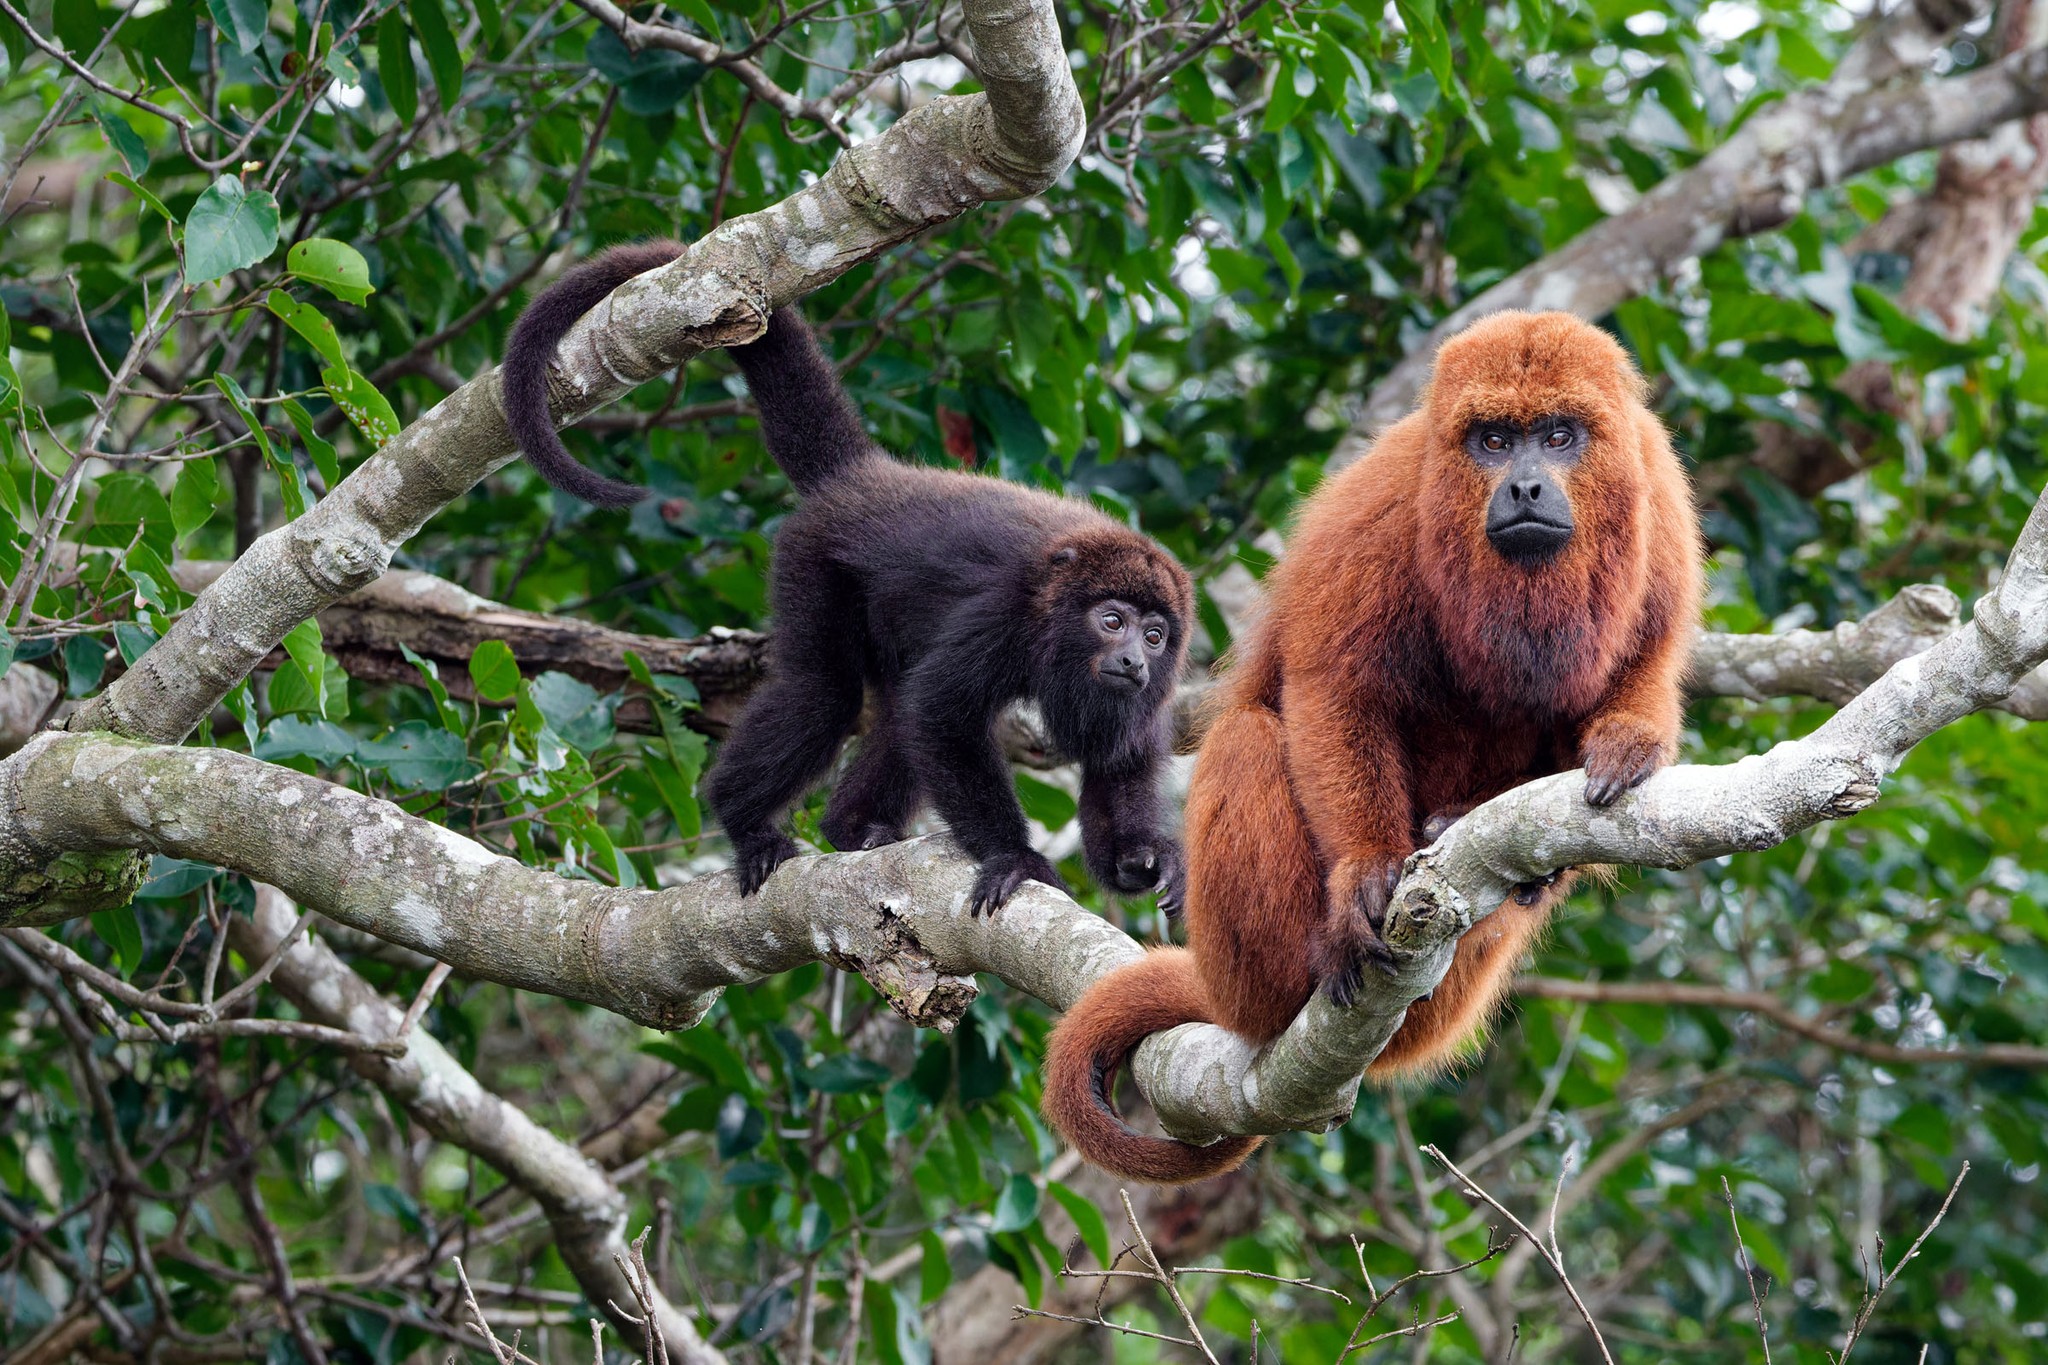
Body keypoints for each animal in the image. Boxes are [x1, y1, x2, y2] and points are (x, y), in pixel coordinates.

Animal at [499, 242, 1195, 914]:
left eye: (1155, 635)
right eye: (1112, 621)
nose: (1133, 661)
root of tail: (863, 474)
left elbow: (1118, 760)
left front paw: (1141, 859)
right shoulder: (1004, 614)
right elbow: (941, 712)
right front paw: (1015, 858)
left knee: (893, 712)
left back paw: (853, 830)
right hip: (813, 562)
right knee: (826, 691)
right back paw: (746, 821)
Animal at [1042, 311, 1703, 1184]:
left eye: (1560, 437)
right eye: (1493, 441)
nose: (1525, 485)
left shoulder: (1658, 493)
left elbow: (1648, 661)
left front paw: (1627, 744)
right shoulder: (1383, 499)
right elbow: (1335, 688)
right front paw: (1364, 869)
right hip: (1248, 976)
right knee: (1250, 736)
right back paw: (1320, 959)